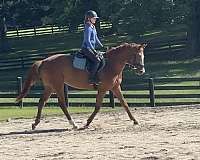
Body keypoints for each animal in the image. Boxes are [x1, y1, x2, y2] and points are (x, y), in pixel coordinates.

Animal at [16, 42, 147, 130]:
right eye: (137, 55)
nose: (141, 71)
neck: (111, 64)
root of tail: (43, 61)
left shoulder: (115, 88)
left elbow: (125, 104)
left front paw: (135, 120)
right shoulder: (103, 88)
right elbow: (98, 107)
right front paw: (87, 123)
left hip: (50, 87)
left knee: (41, 101)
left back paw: (35, 124)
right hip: (57, 85)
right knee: (62, 103)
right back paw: (73, 124)